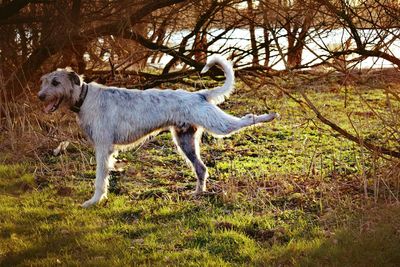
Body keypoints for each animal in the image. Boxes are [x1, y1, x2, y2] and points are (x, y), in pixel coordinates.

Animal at [38, 55, 278, 208]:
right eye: (44, 81)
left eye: (56, 82)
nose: (40, 96)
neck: (85, 97)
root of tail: (199, 94)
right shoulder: (106, 149)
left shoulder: (103, 148)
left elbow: (99, 178)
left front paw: (94, 201)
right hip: (185, 141)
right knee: (201, 168)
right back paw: (198, 194)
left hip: (217, 125)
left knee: (245, 119)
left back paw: (269, 116)